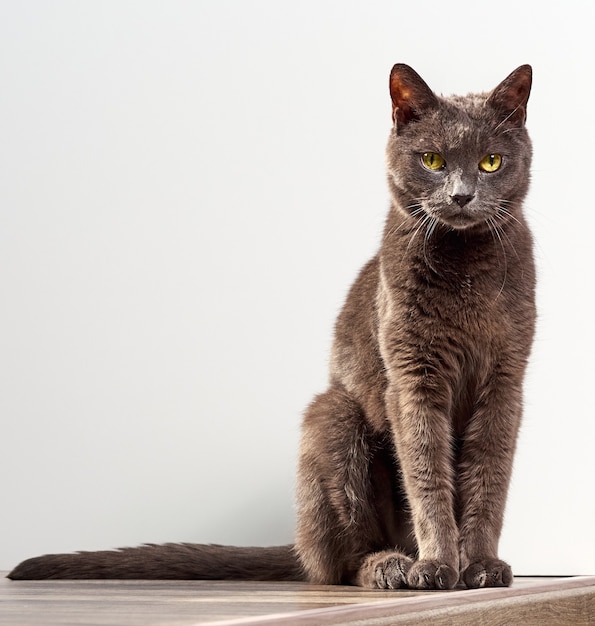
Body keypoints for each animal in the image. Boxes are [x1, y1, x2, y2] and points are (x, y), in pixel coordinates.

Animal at [7, 63, 536, 588]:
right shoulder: (412, 377)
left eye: (491, 162)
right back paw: (394, 566)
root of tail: (298, 546)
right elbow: (427, 474)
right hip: (334, 417)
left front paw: (482, 566)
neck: (466, 270)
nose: (461, 195)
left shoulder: (505, 380)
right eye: (432, 160)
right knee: (340, 564)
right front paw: (437, 566)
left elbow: (489, 477)